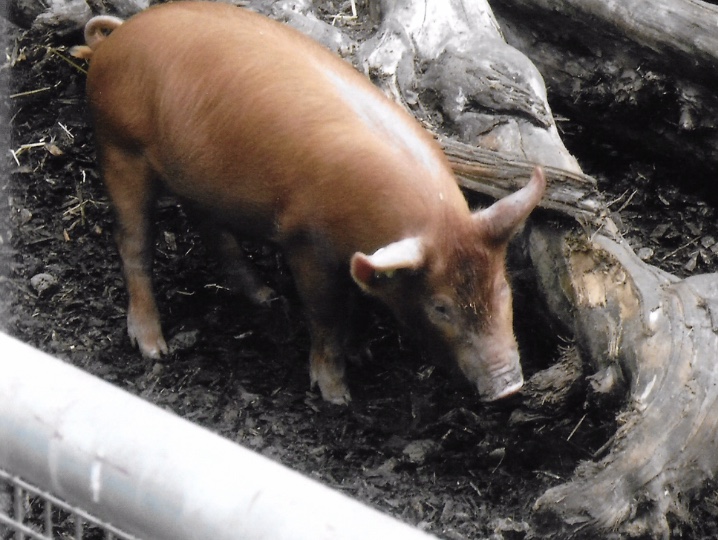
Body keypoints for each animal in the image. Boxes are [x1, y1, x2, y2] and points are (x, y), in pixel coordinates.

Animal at [74, 2, 546, 405]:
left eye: (502, 288)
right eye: (440, 307)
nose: (509, 386)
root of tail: (113, 41)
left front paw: (362, 353)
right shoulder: (306, 243)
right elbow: (326, 314)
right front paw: (337, 395)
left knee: (209, 227)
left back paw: (263, 295)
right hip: (120, 148)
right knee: (133, 242)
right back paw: (155, 348)